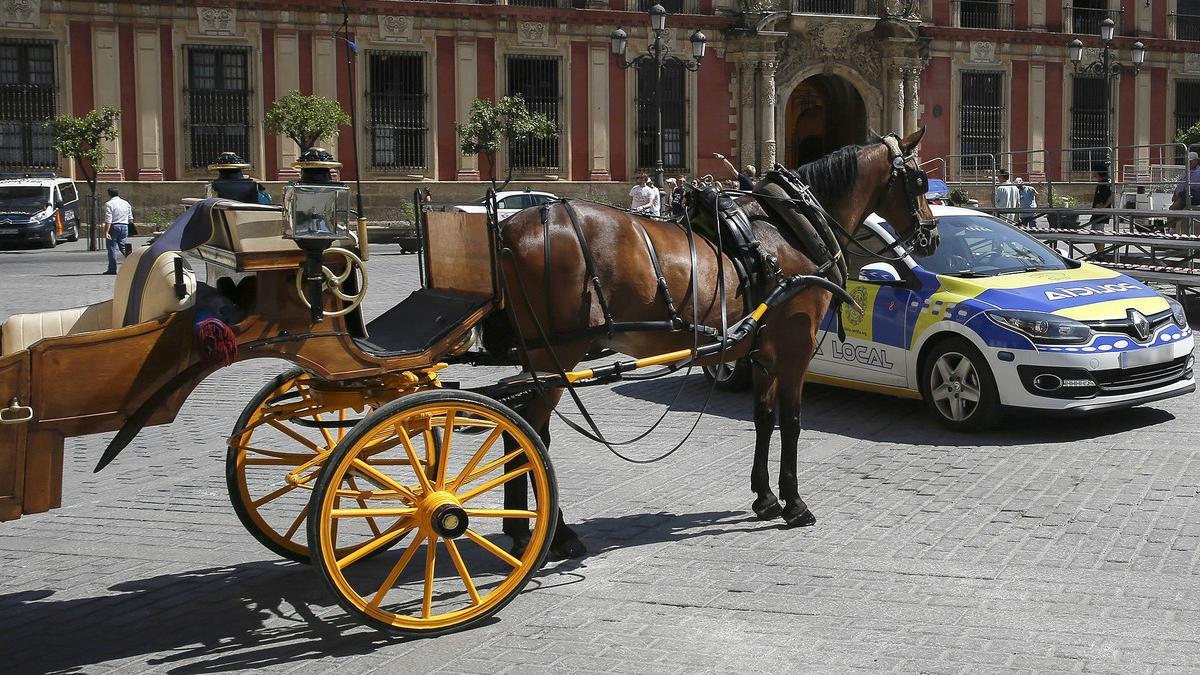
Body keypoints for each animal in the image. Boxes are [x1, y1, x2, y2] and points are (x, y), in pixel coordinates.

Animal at [496, 127, 936, 557]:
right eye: (919, 180)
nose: (930, 235)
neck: (792, 229)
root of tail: (511, 228)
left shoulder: (762, 352)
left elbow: (764, 418)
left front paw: (765, 498)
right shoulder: (796, 348)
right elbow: (792, 422)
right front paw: (794, 503)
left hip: (538, 356)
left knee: (515, 427)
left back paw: (519, 530)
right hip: (558, 353)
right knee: (532, 433)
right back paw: (555, 534)